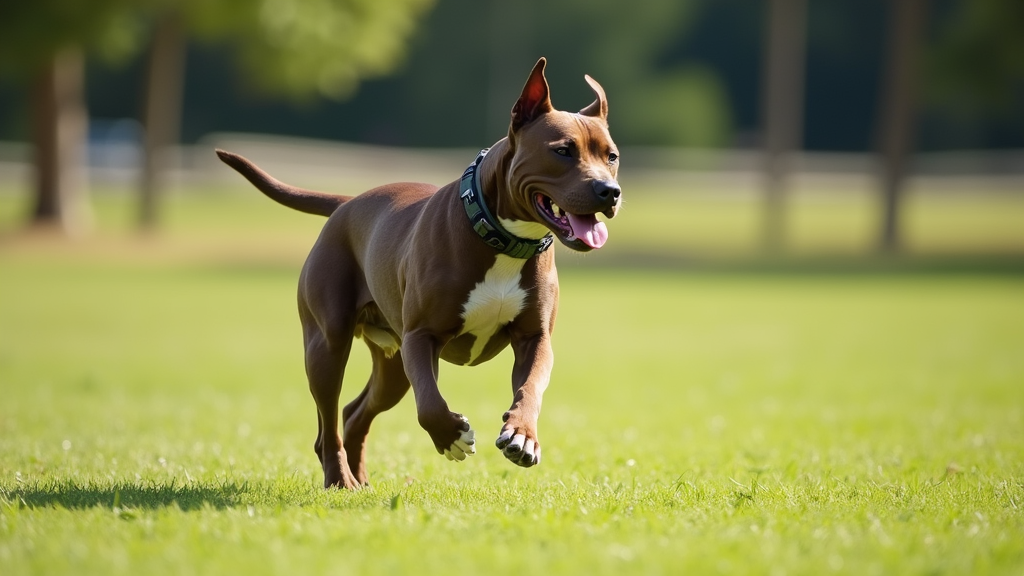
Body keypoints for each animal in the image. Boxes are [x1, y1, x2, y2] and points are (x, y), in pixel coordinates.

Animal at [216, 58, 618, 485]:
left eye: (611, 156)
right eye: (563, 151)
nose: (610, 191)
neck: (503, 239)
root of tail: (346, 203)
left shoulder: (534, 339)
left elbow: (531, 388)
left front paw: (522, 435)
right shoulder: (421, 337)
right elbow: (429, 403)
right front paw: (451, 435)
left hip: (391, 364)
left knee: (354, 413)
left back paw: (360, 481)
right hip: (327, 346)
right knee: (328, 424)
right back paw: (340, 480)